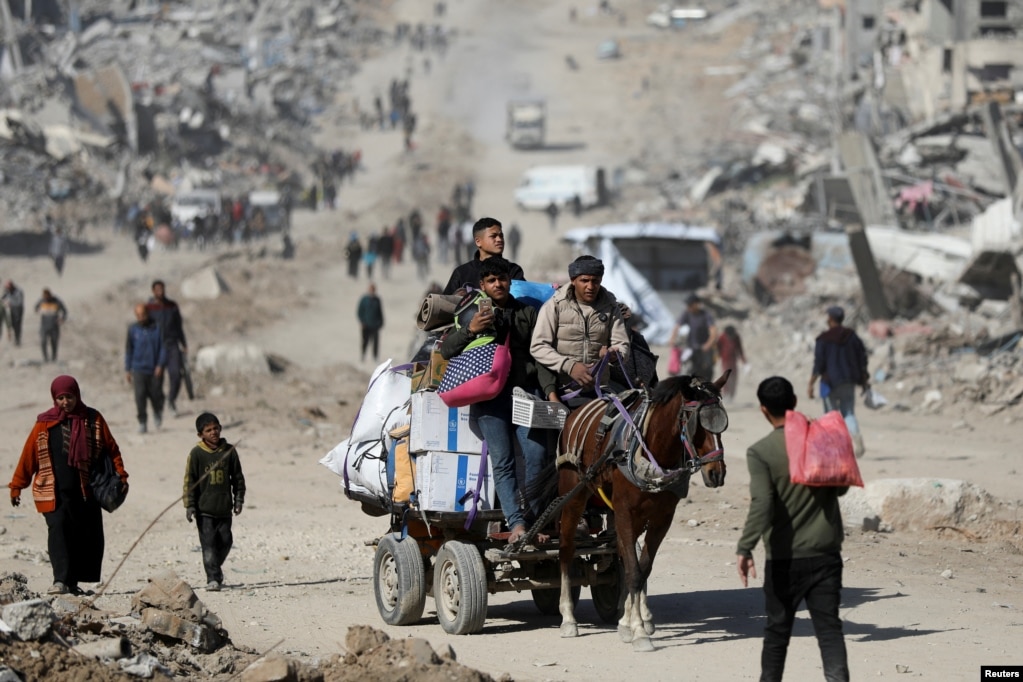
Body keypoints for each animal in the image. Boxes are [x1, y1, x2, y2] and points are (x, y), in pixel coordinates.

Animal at [552, 376, 728, 654]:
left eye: (723, 425)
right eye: (697, 425)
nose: (716, 474)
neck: (652, 452)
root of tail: (575, 413)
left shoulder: (662, 518)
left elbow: (641, 568)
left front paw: (631, 623)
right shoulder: (626, 511)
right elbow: (634, 572)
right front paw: (639, 633)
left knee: (623, 553)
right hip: (573, 496)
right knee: (566, 551)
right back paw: (568, 618)